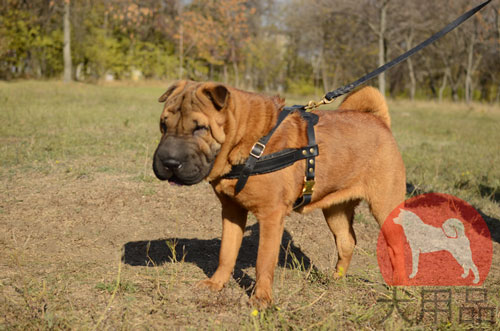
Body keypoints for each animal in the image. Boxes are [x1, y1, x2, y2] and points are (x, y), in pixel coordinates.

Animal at [152, 80, 406, 308]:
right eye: (163, 125)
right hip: (335, 210)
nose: (169, 162)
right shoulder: (232, 211)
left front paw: (261, 300)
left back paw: (401, 289)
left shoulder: (271, 215)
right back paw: (336, 280)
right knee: (347, 241)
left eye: (200, 128)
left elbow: (263, 261)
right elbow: (227, 252)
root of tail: (380, 121)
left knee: (399, 246)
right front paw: (216, 284)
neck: (250, 142)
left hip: (384, 207)